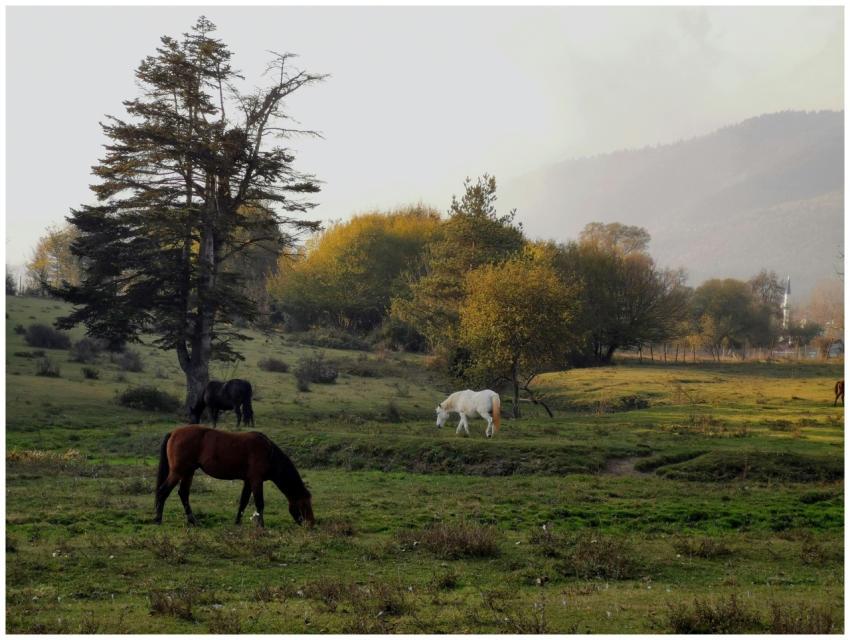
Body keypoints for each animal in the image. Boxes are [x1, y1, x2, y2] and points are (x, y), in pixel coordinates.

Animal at [154, 425, 314, 528]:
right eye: (305, 504)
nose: (311, 523)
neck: (269, 453)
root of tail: (173, 433)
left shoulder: (248, 481)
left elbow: (243, 502)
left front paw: (237, 522)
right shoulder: (256, 480)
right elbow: (259, 503)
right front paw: (261, 525)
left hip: (188, 472)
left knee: (183, 494)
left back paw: (193, 521)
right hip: (178, 472)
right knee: (163, 491)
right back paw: (158, 519)